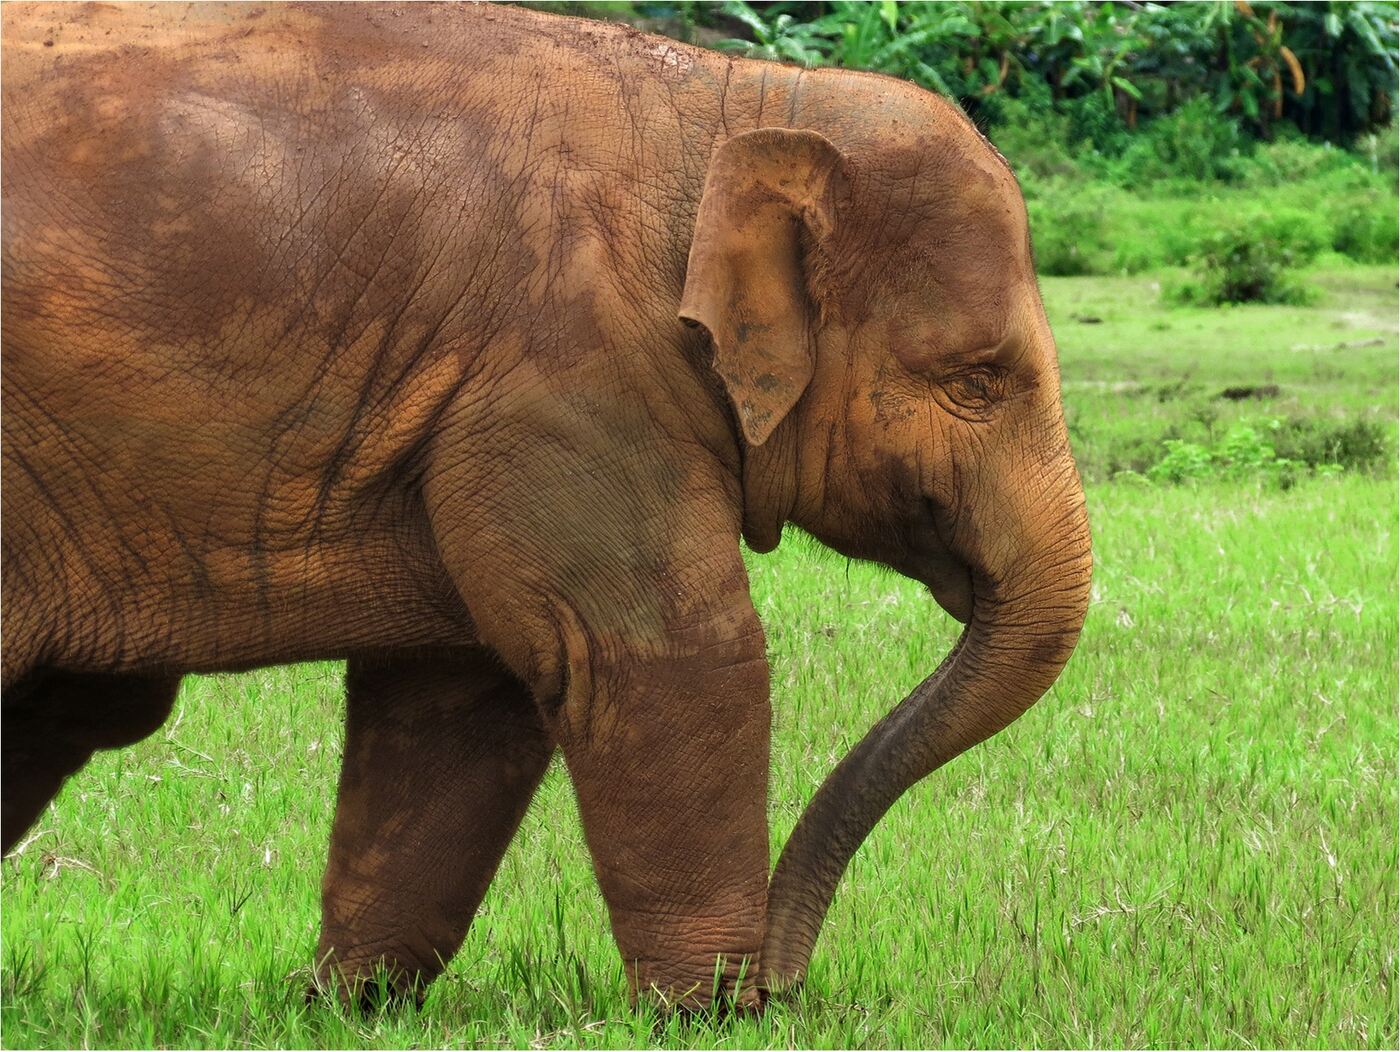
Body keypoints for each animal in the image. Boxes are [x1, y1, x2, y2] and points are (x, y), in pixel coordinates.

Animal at [0, 1, 1092, 1011]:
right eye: (975, 381)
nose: (784, 984)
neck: (745, 102)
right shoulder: (571, 373)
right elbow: (662, 657)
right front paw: (705, 1011)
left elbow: (459, 696)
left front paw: (349, 1003)